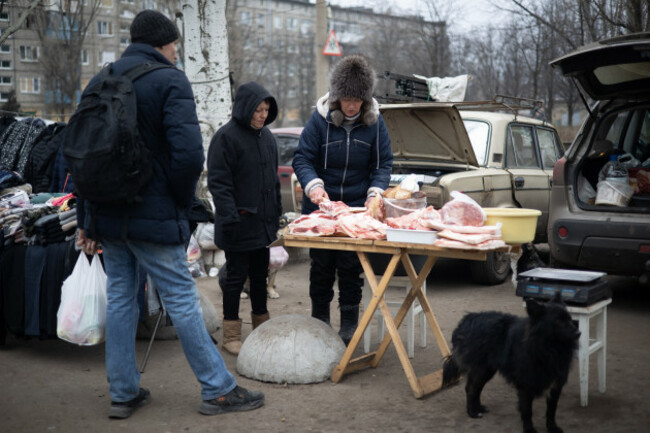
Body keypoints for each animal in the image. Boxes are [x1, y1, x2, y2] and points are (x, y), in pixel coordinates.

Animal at [440, 294, 576, 432]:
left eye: (570, 319)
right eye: (558, 322)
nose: (578, 332)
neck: (547, 349)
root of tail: (466, 320)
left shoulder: (556, 385)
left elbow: (551, 411)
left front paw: (552, 427)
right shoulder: (525, 386)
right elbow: (527, 411)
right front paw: (529, 430)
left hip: (487, 370)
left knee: (477, 388)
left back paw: (479, 408)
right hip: (480, 369)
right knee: (470, 388)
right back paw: (472, 412)